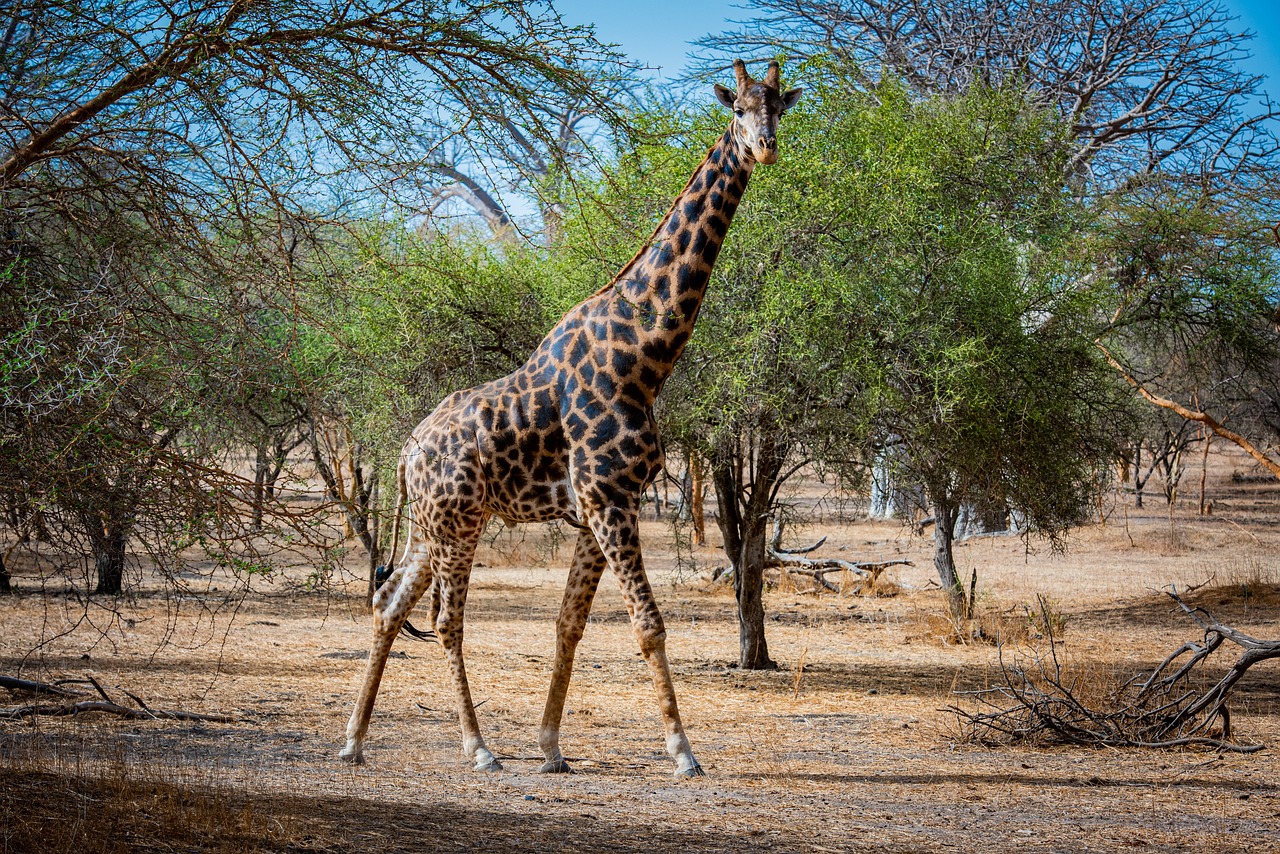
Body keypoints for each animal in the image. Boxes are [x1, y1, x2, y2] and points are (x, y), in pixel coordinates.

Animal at [341, 59, 802, 778]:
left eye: (779, 105)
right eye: (738, 110)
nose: (766, 147)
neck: (644, 355)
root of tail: (407, 451)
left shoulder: (598, 510)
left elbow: (569, 624)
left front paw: (552, 746)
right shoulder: (609, 500)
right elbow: (648, 625)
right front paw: (683, 752)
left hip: (428, 524)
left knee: (390, 606)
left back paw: (355, 739)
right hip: (460, 521)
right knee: (446, 620)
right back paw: (478, 749)